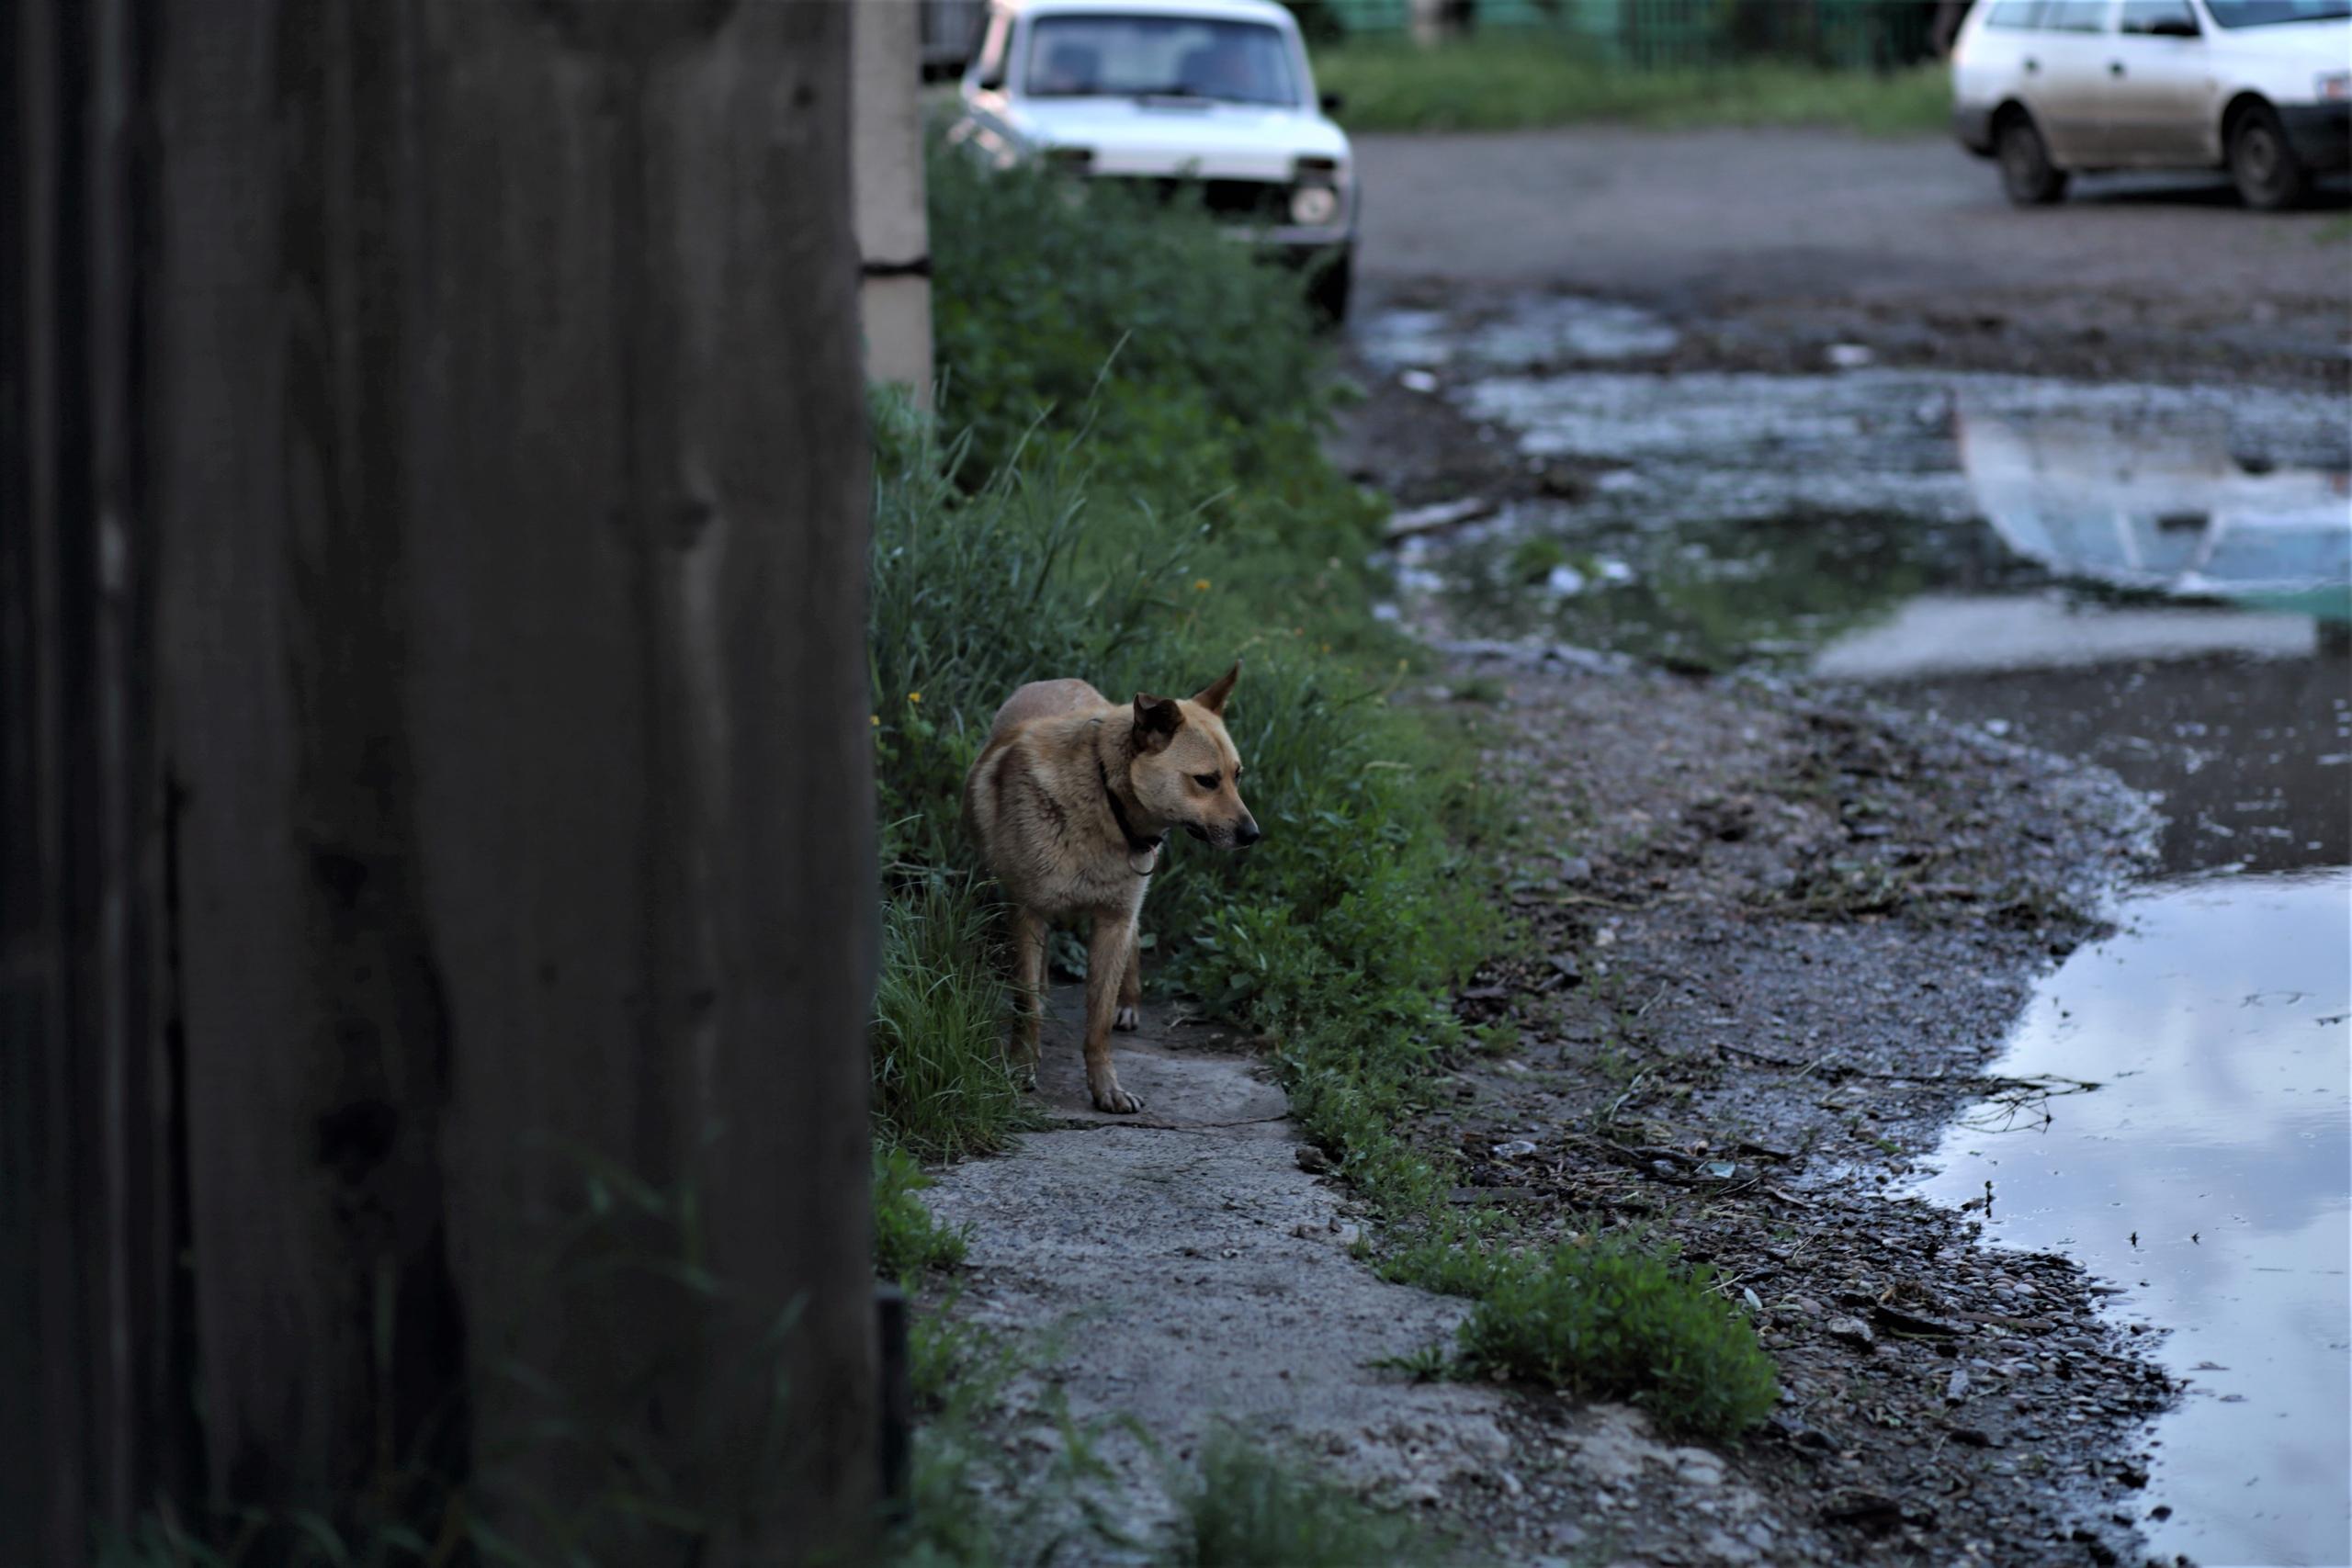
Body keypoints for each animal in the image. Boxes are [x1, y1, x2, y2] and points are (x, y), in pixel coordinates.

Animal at [959, 662, 1261, 1114]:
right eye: (1206, 781)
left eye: (1237, 776)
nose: (1253, 835)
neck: (1104, 798)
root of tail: (1060, 680)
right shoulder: (1026, 912)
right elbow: (1025, 1004)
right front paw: (1022, 1065)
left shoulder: (1115, 921)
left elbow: (1098, 1024)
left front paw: (1106, 1088)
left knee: (1133, 945)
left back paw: (1129, 1003)